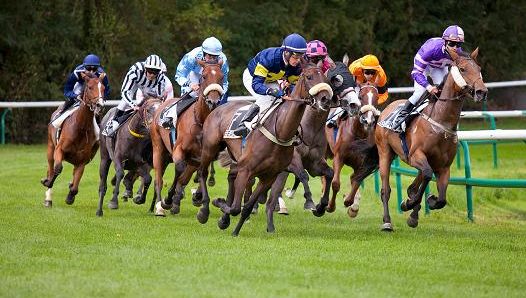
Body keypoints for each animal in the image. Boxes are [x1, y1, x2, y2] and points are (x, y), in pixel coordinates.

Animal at [41, 72, 106, 207]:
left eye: (103, 88)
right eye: (90, 87)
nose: (100, 105)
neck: (80, 127)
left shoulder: (82, 161)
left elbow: (75, 187)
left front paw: (70, 196)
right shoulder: (59, 150)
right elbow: (57, 169)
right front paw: (47, 182)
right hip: (50, 148)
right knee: (50, 169)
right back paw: (48, 197)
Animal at [152, 60, 224, 219]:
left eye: (222, 77)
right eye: (204, 76)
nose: (213, 101)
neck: (201, 121)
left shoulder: (203, 155)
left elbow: (199, 173)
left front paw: (198, 199)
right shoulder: (178, 149)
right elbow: (179, 168)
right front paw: (168, 200)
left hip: (192, 160)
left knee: (185, 177)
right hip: (158, 148)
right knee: (159, 178)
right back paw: (160, 206)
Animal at [198, 60, 334, 236]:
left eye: (326, 78)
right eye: (309, 77)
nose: (325, 99)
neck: (281, 131)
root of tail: (218, 107)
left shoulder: (271, 175)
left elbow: (246, 207)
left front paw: (233, 228)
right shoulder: (248, 170)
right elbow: (236, 208)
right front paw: (219, 204)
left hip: (236, 158)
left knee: (231, 176)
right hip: (210, 149)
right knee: (202, 172)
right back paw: (204, 210)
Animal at [328, 81, 382, 217]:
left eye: (376, 98)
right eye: (361, 97)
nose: (368, 120)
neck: (358, 134)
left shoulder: (365, 163)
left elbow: (356, 180)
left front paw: (351, 205)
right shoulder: (339, 156)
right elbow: (335, 183)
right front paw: (330, 206)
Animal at [378, 48, 488, 230]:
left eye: (479, 68)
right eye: (463, 69)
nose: (482, 92)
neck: (441, 122)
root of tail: (387, 109)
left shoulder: (443, 167)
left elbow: (441, 199)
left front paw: (425, 203)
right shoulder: (416, 155)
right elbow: (428, 176)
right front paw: (410, 205)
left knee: (417, 181)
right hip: (385, 153)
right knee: (386, 190)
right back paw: (387, 221)